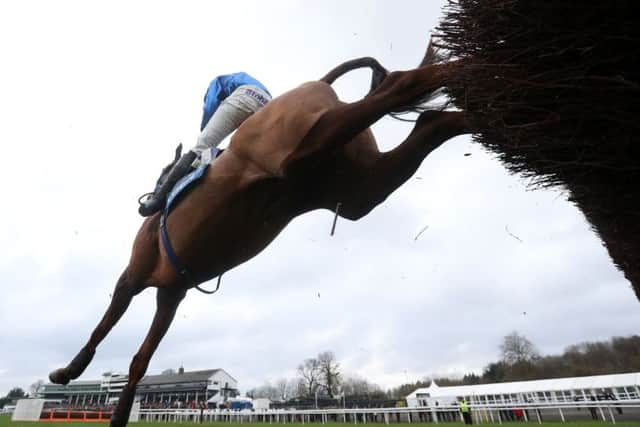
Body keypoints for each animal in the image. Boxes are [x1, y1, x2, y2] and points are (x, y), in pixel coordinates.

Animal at [48, 42, 470, 424]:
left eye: (159, 174)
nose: (145, 206)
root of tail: (319, 82)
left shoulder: (134, 274)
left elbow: (103, 326)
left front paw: (67, 372)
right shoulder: (172, 294)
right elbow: (140, 361)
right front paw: (118, 414)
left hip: (301, 151)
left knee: (400, 84)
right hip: (355, 188)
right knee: (429, 125)